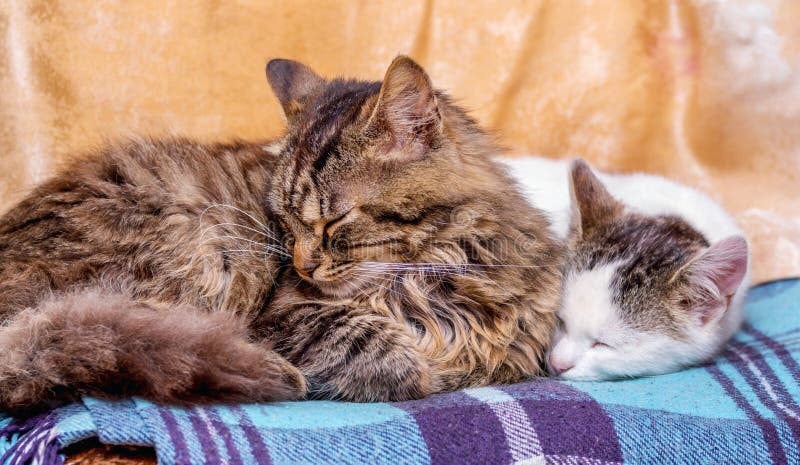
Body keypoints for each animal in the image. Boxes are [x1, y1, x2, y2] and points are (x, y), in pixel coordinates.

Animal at [0, 56, 564, 412]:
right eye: (285, 224)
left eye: (332, 223)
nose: (301, 265)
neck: (429, 280)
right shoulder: (282, 315)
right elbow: (391, 357)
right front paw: (418, 371)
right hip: (197, 252)